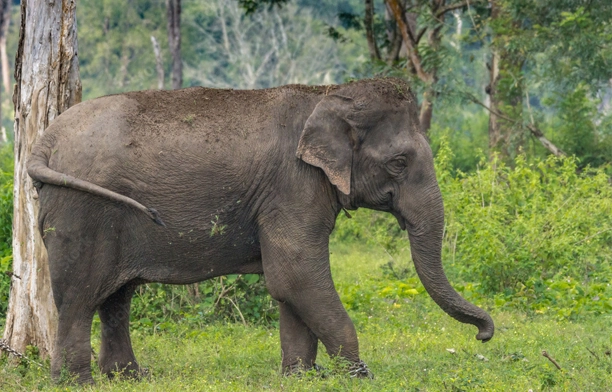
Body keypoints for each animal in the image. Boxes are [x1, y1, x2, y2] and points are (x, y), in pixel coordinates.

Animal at [28, 78, 494, 384]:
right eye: (399, 162)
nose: (484, 334)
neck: (327, 94)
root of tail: (44, 140)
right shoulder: (292, 187)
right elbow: (296, 277)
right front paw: (360, 376)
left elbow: (290, 284)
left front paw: (302, 376)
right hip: (81, 210)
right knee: (80, 298)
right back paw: (76, 383)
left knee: (116, 299)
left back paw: (129, 378)